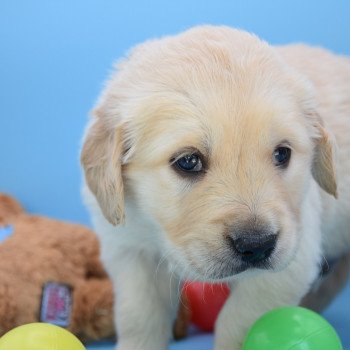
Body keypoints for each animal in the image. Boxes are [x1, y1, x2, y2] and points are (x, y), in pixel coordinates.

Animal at [80, 26, 348, 348]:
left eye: (282, 154)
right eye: (188, 161)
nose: (257, 244)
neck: (159, 231)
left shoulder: (291, 260)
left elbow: (238, 320)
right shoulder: (129, 250)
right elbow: (139, 315)